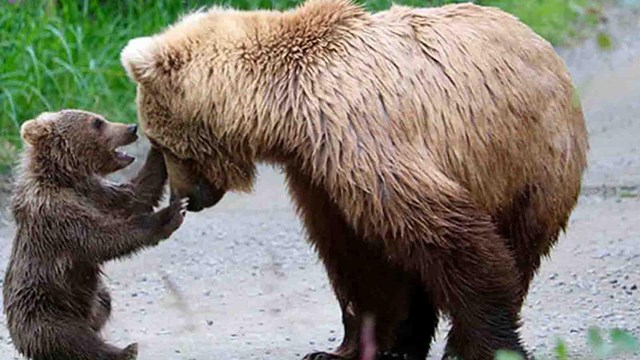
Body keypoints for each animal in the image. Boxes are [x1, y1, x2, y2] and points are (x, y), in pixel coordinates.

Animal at [121, 1, 592, 358]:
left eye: (162, 145)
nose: (186, 197)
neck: (284, 113)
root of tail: (542, 46)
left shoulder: (360, 137)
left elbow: (450, 238)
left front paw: (484, 346)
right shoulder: (316, 173)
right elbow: (354, 255)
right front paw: (343, 349)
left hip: (527, 162)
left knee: (517, 243)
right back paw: (406, 345)